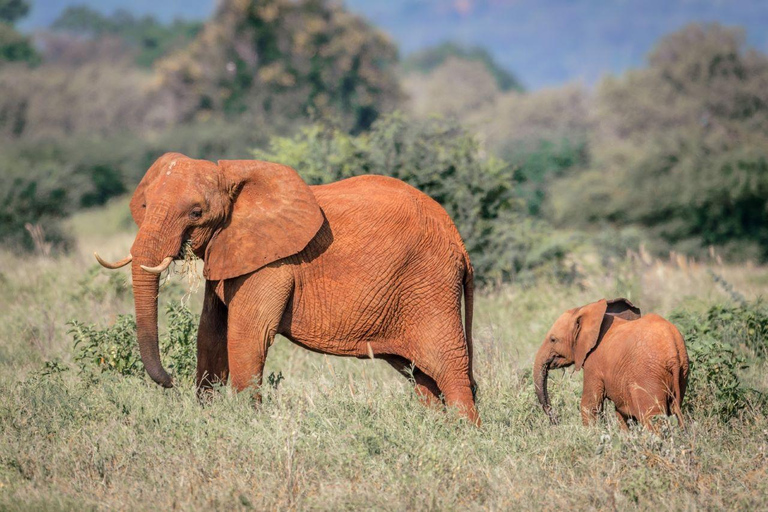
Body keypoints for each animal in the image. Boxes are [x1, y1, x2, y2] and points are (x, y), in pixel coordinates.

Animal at [96, 152, 480, 424]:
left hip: (430, 285)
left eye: (195, 212)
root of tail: (459, 241)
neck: (229, 175)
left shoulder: (271, 264)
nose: (170, 379)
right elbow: (210, 333)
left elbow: (247, 334)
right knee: (422, 377)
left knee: (449, 369)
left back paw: (465, 437)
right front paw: (208, 417)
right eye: (144, 206)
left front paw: (243, 426)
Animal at [536, 298, 688, 430]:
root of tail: (672, 351)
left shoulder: (593, 363)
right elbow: (620, 412)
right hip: (682, 372)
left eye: (553, 339)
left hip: (648, 377)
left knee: (652, 419)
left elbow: (589, 405)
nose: (556, 421)